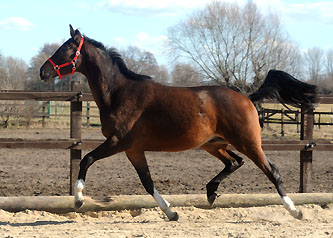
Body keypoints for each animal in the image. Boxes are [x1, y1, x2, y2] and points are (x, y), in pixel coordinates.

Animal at [40, 25, 316, 220]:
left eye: (65, 49)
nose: (43, 71)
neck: (120, 93)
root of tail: (247, 97)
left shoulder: (118, 142)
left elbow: (86, 159)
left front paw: (78, 198)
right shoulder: (133, 149)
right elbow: (148, 182)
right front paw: (171, 213)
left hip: (248, 142)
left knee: (272, 171)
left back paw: (296, 211)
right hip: (213, 144)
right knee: (235, 162)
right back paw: (211, 192)